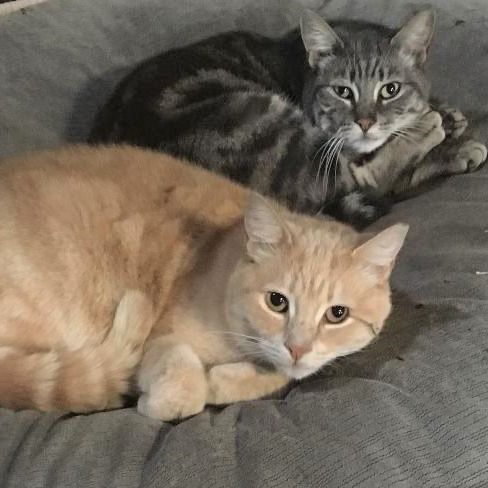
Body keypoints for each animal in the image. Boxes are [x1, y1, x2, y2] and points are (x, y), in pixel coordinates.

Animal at [0, 144, 408, 420]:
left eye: (337, 314)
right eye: (277, 302)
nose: (298, 348)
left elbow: (282, 376)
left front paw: (225, 380)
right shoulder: (163, 337)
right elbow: (186, 382)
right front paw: (170, 398)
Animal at [89, 7, 486, 229]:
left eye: (390, 89)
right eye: (342, 91)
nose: (366, 122)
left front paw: (447, 118)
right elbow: (376, 166)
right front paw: (437, 125)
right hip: (263, 126)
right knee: (366, 178)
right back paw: (428, 130)